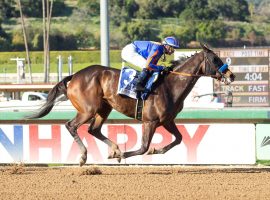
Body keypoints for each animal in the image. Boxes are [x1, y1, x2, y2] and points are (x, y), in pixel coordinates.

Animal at [26, 43, 235, 166]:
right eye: (215, 59)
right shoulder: (150, 121)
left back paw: (114, 149)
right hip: (87, 109)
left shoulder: (167, 121)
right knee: (71, 126)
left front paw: (155, 149)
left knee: (94, 130)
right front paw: (126, 155)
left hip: (104, 108)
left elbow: (179, 139)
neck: (170, 85)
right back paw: (85, 156)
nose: (231, 75)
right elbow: (143, 147)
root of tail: (75, 75)